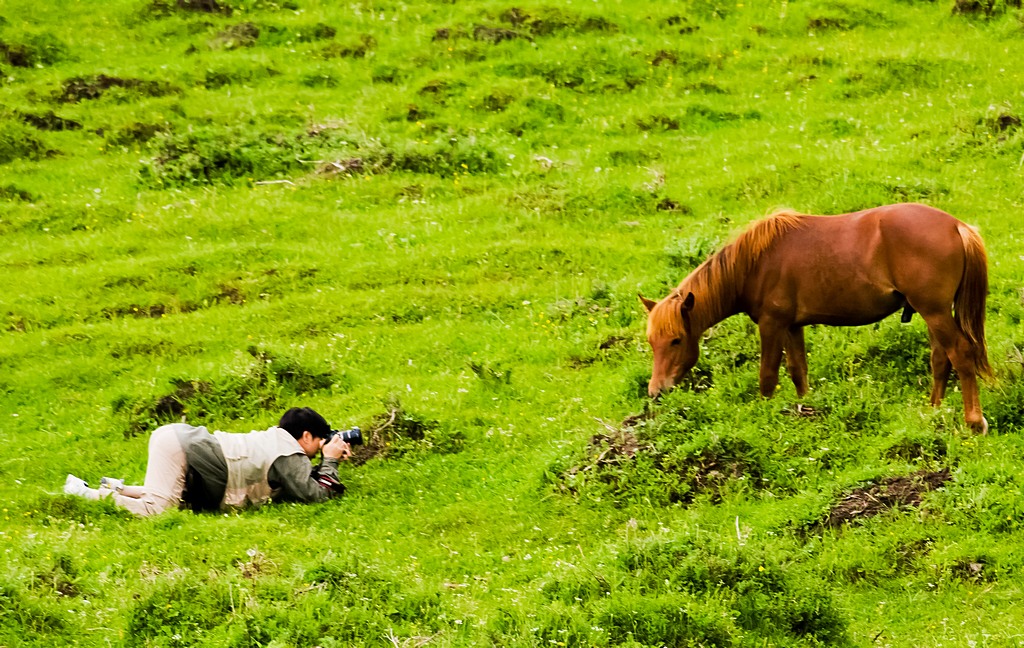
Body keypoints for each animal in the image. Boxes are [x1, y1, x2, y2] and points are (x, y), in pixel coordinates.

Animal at [638, 200, 991, 434]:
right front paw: (807, 409)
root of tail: (957, 227)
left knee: (960, 354)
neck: (755, 263)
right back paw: (934, 411)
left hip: (935, 312)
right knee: (941, 360)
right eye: (652, 342)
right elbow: (798, 372)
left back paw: (974, 422)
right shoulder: (792, 326)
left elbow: (767, 377)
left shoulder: (772, 324)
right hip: (933, 313)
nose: (656, 391)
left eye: (676, 340)